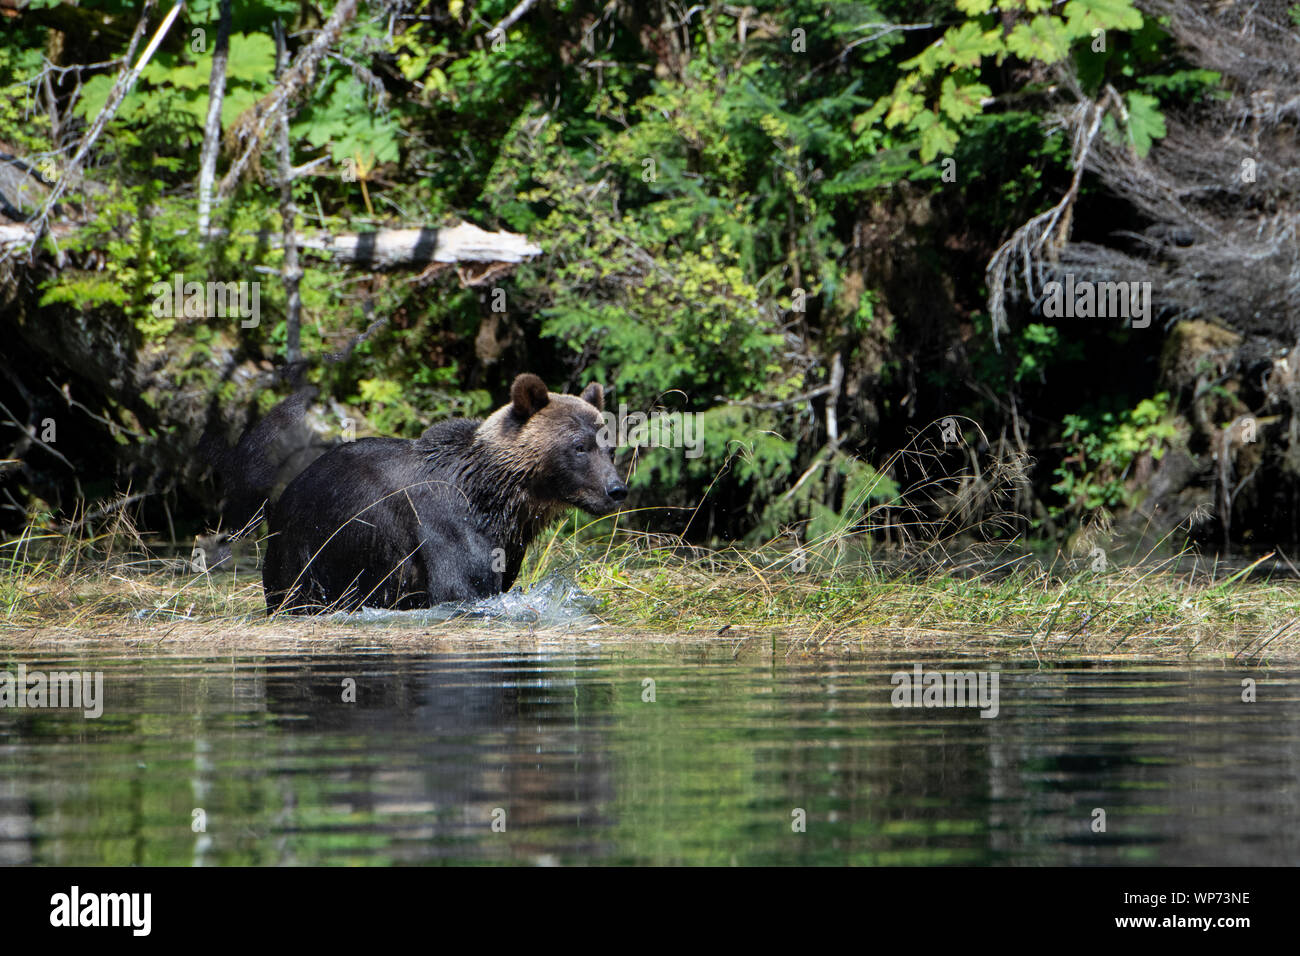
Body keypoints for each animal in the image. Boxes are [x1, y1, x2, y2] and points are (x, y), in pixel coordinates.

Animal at [262, 374, 624, 613]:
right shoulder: (445, 524)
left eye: (611, 449)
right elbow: (461, 588)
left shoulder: (507, 542)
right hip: (308, 550)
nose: (616, 489)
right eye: (579, 446)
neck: (495, 496)